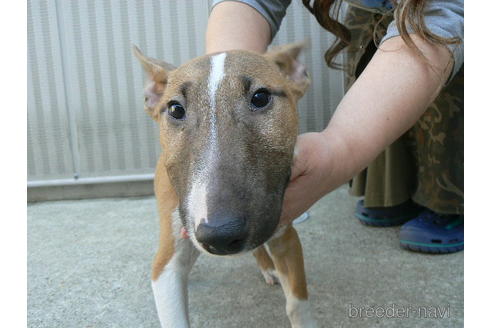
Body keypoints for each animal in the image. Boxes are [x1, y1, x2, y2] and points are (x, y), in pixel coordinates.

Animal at [135, 43, 318, 328]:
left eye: (260, 97)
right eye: (175, 109)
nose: (220, 234)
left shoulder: (284, 233)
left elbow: (297, 303)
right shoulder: (166, 265)